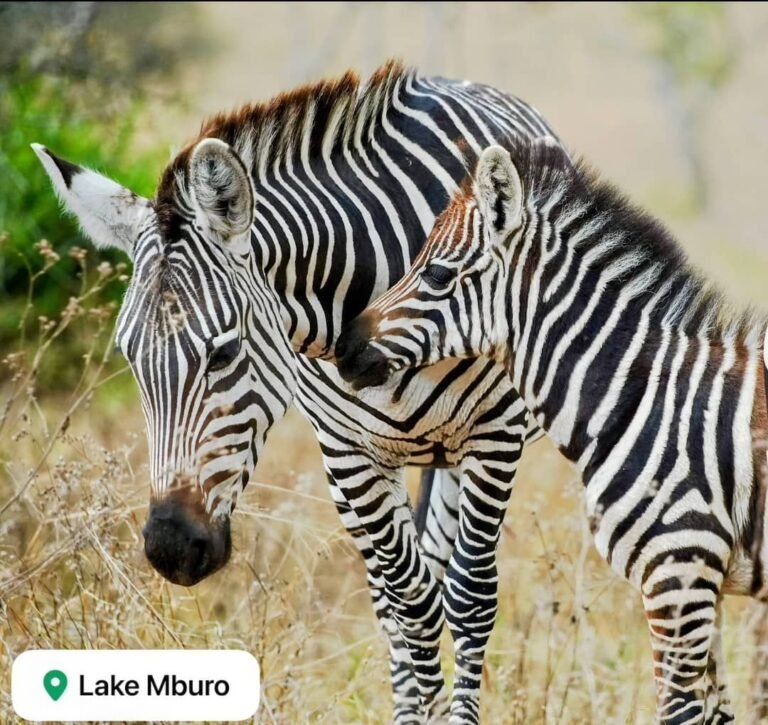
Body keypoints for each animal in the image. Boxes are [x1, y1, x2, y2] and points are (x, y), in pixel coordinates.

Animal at [32, 62, 560, 723]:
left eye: (224, 352)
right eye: (130, 357)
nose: (170, 550)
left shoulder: (495, 437)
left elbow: (468, 600)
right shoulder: (348, 452)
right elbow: (410, 606)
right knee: (392, 598)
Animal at [336, 136, 768, 723]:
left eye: (439, 275)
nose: (344, 349)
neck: (643, 400)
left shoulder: (678, 576)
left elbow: (677, 711)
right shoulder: (707, 585)